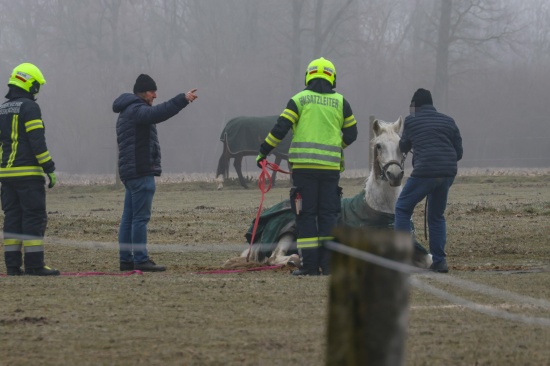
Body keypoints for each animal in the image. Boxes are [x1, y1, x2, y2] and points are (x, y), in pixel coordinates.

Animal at [226, 117, 434, 268]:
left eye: (402, 145)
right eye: (378, 146)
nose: (395, 175)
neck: (379, 208)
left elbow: (427, 260)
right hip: (288, 231)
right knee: (274, 257)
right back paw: (296, 260)